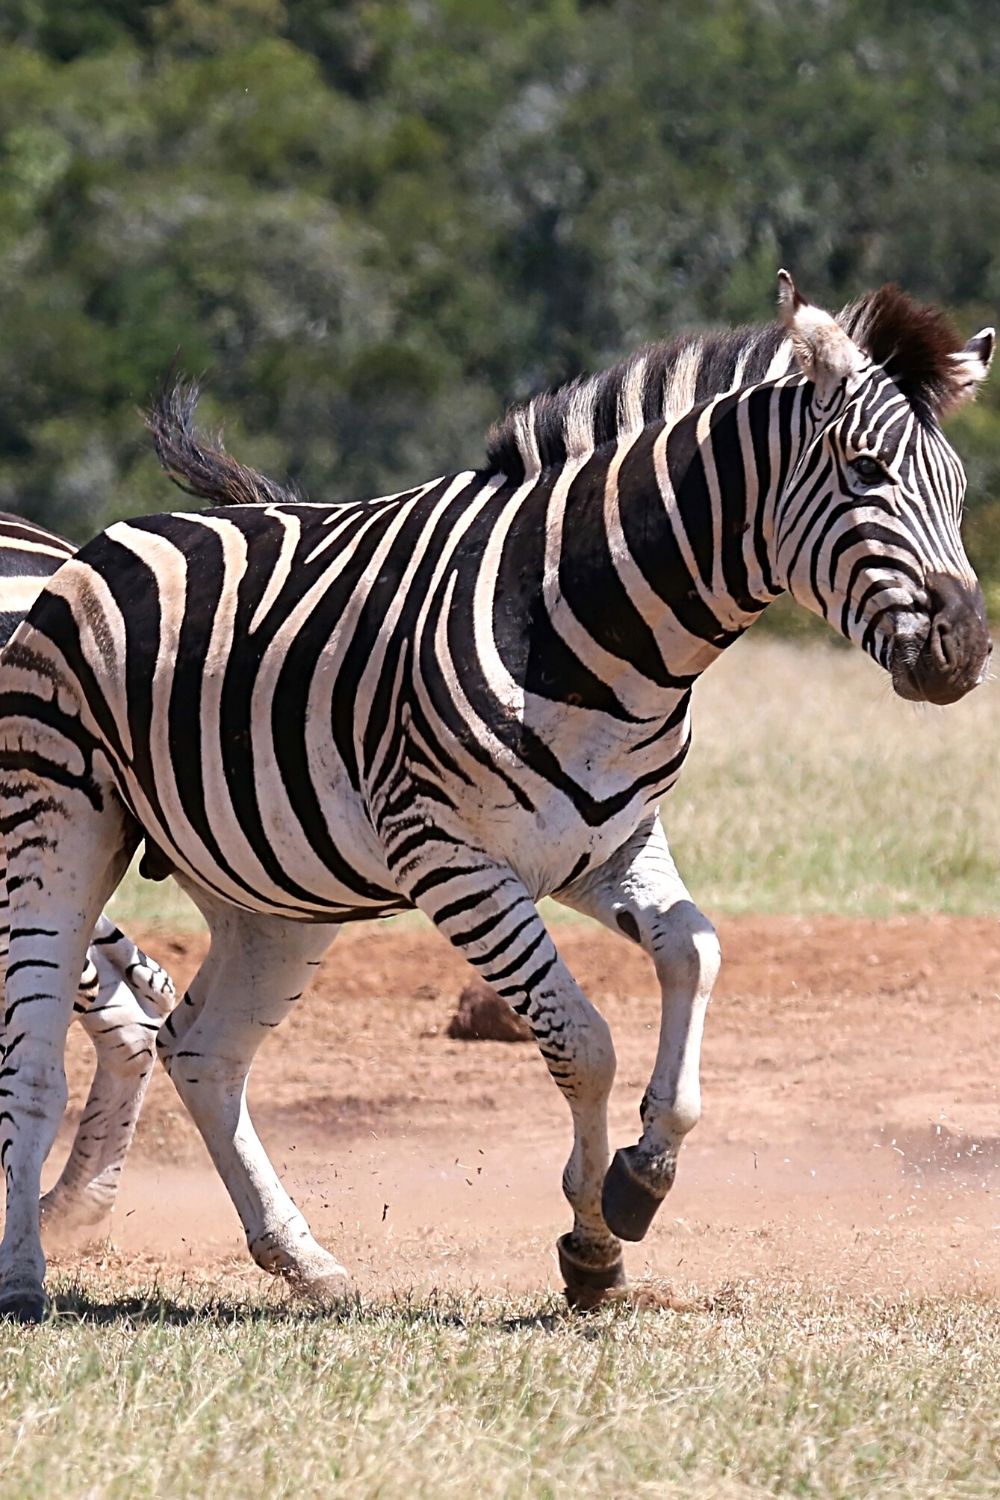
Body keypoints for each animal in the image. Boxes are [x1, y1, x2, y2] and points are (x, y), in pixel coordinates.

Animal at [0, 276, 995, 1320]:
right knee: (36, 1057)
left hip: (272, 887)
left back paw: (301, 1258)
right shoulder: (453, 859)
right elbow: (583, 1044)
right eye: (865, 471)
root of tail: (103, 540)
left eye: (961, 489)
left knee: (202, 1049)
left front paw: (642, 1172)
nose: (967, 651)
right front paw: (597, 1239)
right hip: (58, 821)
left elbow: (695, 953)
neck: (598, 630)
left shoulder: (610, 842)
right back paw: (25, 1272)